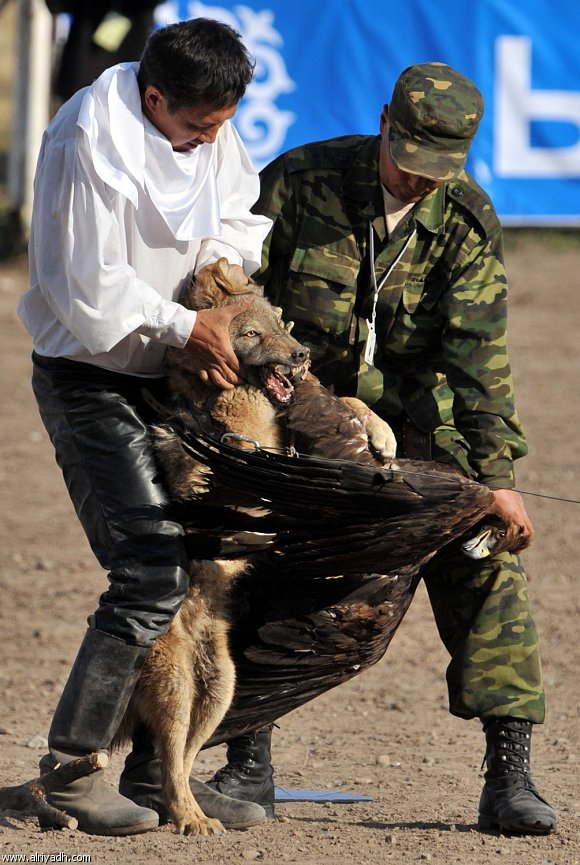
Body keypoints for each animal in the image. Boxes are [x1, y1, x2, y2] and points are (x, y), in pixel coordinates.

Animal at [115, 258, 398, 836]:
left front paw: (382, 435)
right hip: (178, 690)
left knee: (182, 759)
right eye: (249, 335)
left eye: (282, 325)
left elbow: (351, 401)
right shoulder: (223, 466)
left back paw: (203, 810)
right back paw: (191, 818)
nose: (302, 355)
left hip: (220, 692)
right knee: (169, 760)